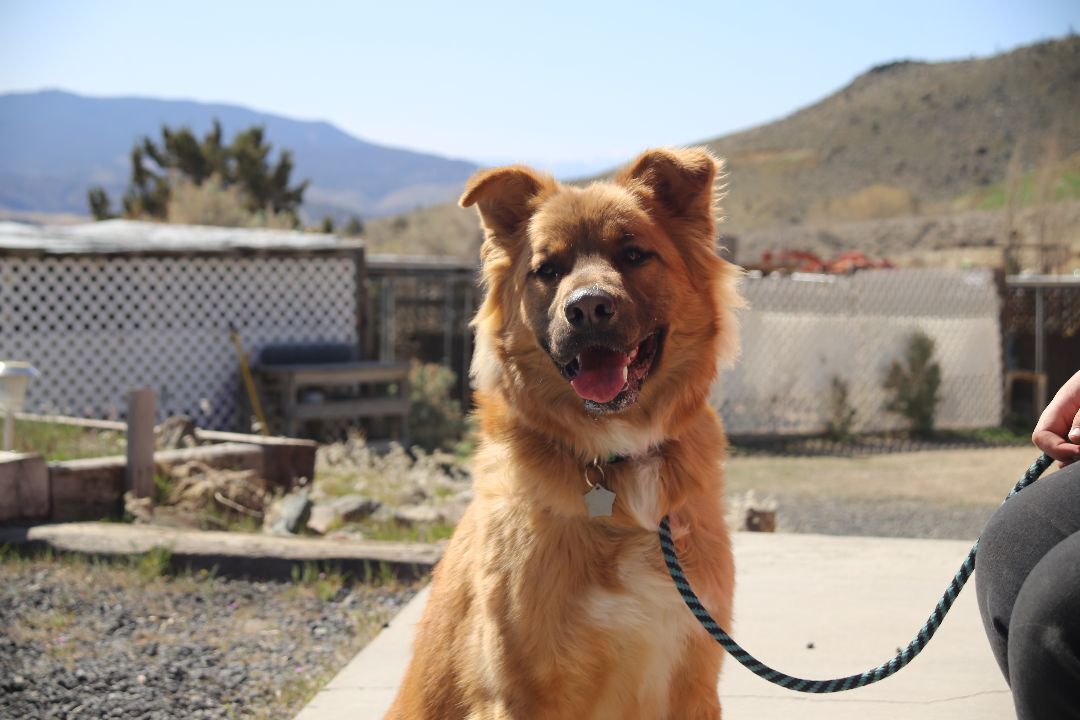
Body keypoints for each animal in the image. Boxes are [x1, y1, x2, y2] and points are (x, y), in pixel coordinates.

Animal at [388, 147, 743, 720]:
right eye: (547, 270)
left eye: (634, 254)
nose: (588, 307)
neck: (616, 462)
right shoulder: (520, 692)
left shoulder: (694, 682)